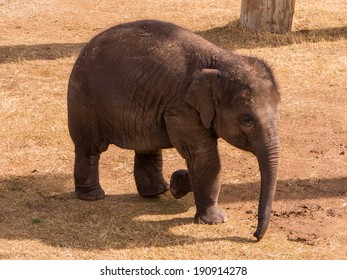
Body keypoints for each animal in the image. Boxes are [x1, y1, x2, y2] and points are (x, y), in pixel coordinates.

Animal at [68, 19, 282, 241]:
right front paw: (215, 221)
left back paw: (157, 191)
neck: (219, 59)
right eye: (247, 120)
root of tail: (85, 49)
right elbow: (204, 156)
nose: (254, 235)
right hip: (83, 101)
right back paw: (93, 196)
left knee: (147, 146)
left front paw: (178, 182)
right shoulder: (181, 108)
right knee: (89, 147)